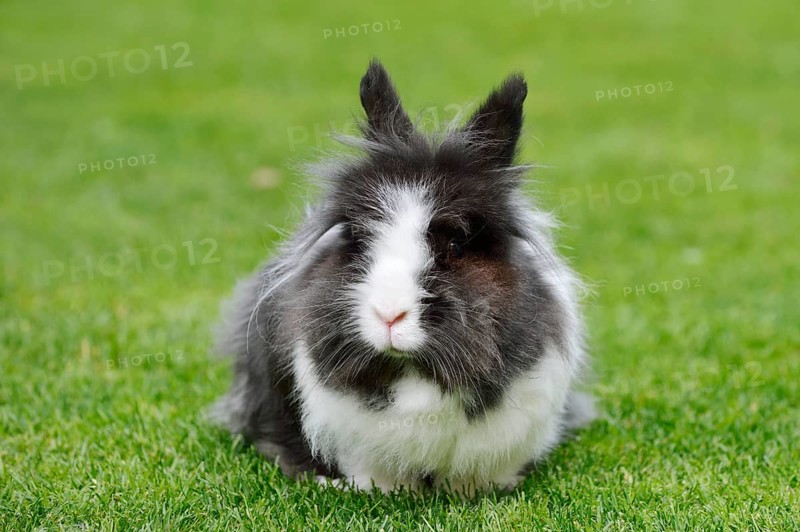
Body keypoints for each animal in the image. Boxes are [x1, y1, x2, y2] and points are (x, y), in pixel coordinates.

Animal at [211, 59, 595, 496]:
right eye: (360, 239)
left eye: (456, 246)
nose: (389, 315)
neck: (413, 372)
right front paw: (378, 490)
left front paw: (473, 492)